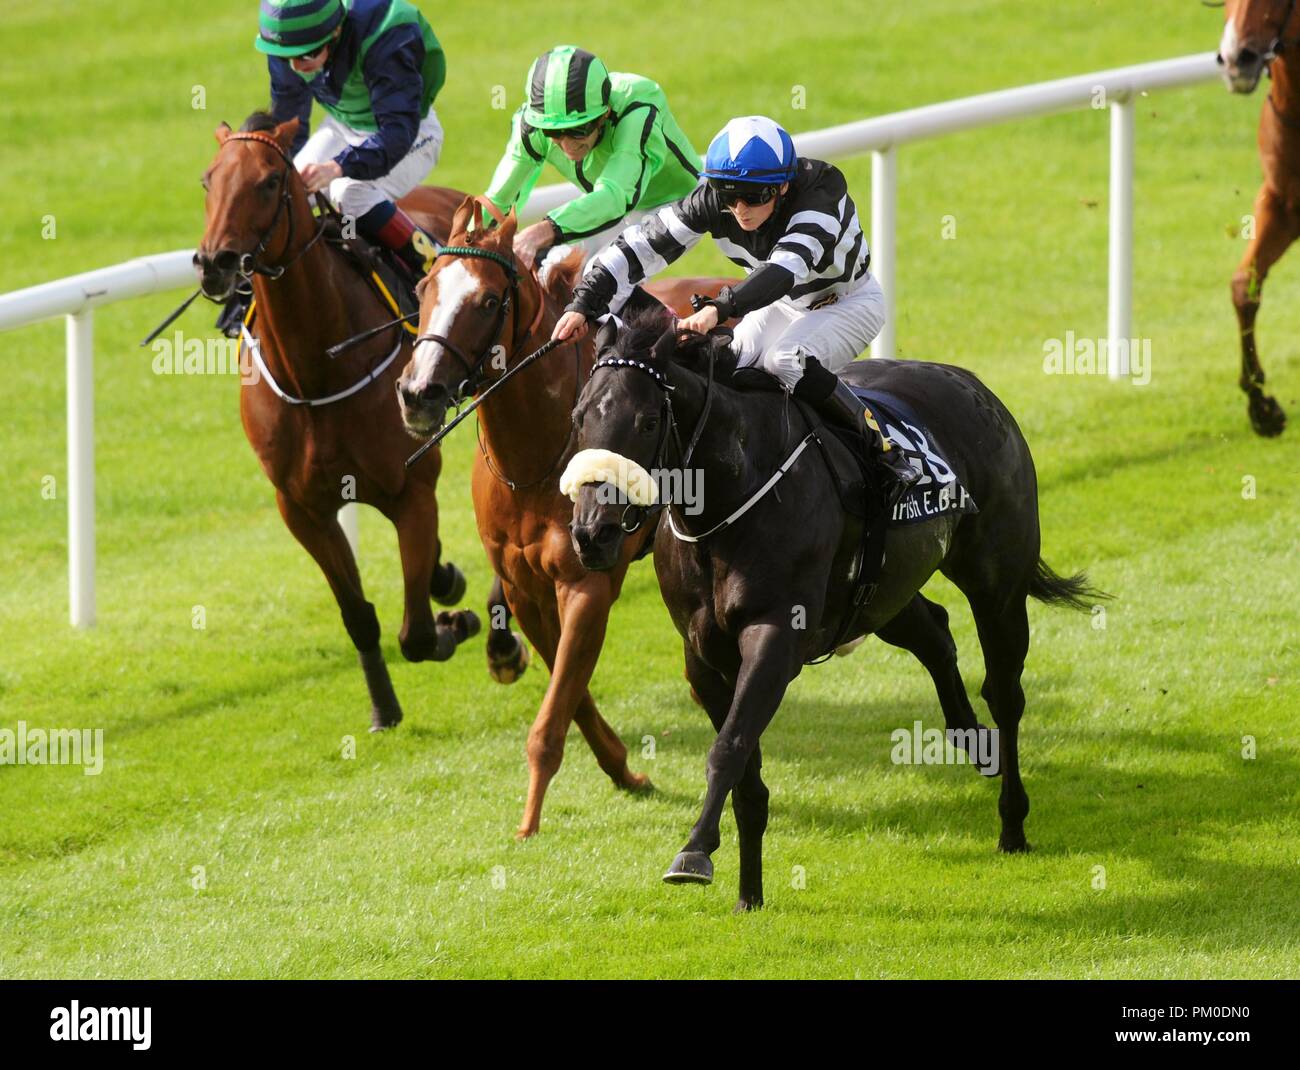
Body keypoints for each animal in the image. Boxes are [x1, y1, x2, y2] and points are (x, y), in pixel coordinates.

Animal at [192, 117, 478, 733]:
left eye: (270, 182)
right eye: (208, 180)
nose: (215, 262)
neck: (314, 371)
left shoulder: (410, 489)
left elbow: (417, 633)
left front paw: (455, 624)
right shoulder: (303, 508)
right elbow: (359, 616)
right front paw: (383, 707)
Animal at [390, 196, 738, 842]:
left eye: (488, 301)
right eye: (424, 286)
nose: (418, 392)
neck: (536, 458)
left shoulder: (586, 583)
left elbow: (554, 711)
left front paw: (529, 821)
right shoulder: (526, 587)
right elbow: (567, 691)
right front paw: (623, 769)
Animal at [564, 315, 1102, 910]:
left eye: (648, 419)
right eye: (579, 417)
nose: (592, 534)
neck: (733, 496)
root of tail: (971, 383)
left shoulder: (775, 636)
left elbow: (729, 748)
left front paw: (695, 852)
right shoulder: (703, 656)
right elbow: (745, 771)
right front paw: (749, 894)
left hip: (996, 584)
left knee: (1005, 692)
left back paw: (1012, 821)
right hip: (882, 595)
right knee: (936, 632)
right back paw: (969, 737)